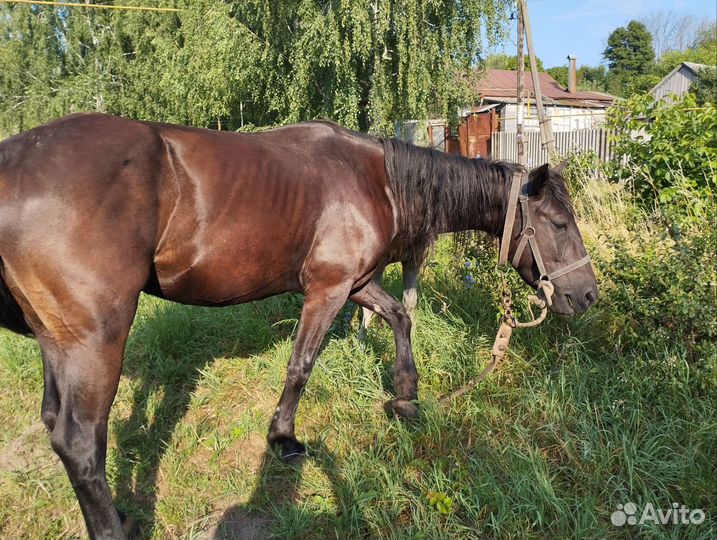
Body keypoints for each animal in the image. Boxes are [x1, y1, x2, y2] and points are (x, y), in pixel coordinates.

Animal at [0, 113, 597, 540]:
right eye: (558, 223)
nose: (585, 295)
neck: (376, 180)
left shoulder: (356, 284)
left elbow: (400, 315)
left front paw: (406, 396)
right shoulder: (327, 290)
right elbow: (301, 365)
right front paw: (284, 438)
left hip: (60, 339)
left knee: (58, 427)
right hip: (95, 338)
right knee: (80, 441)